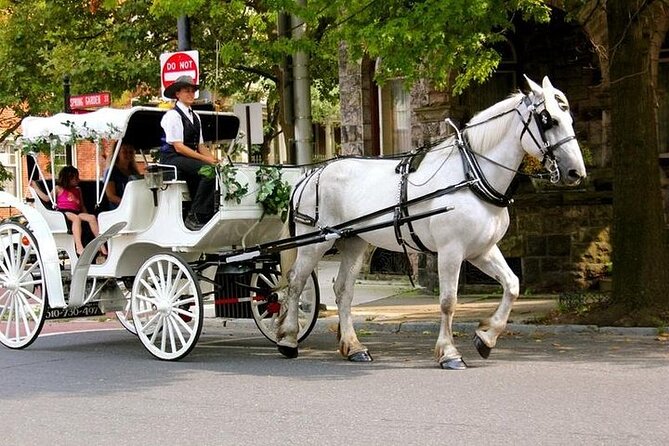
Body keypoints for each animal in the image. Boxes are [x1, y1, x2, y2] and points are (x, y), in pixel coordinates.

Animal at [275, 76, 586, 369]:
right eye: (549, 120)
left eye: (569, 119)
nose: (576, 172)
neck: (472, 177)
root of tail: (312, 174)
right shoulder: (451, 250)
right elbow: (448, 301)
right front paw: (449, 353)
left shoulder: (482, 250)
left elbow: (512, 285)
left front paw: (486, 337)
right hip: (314, 242)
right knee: (296, 281)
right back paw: (288, 339)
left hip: (354, 242)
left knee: (343, 290)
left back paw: (354, 347)